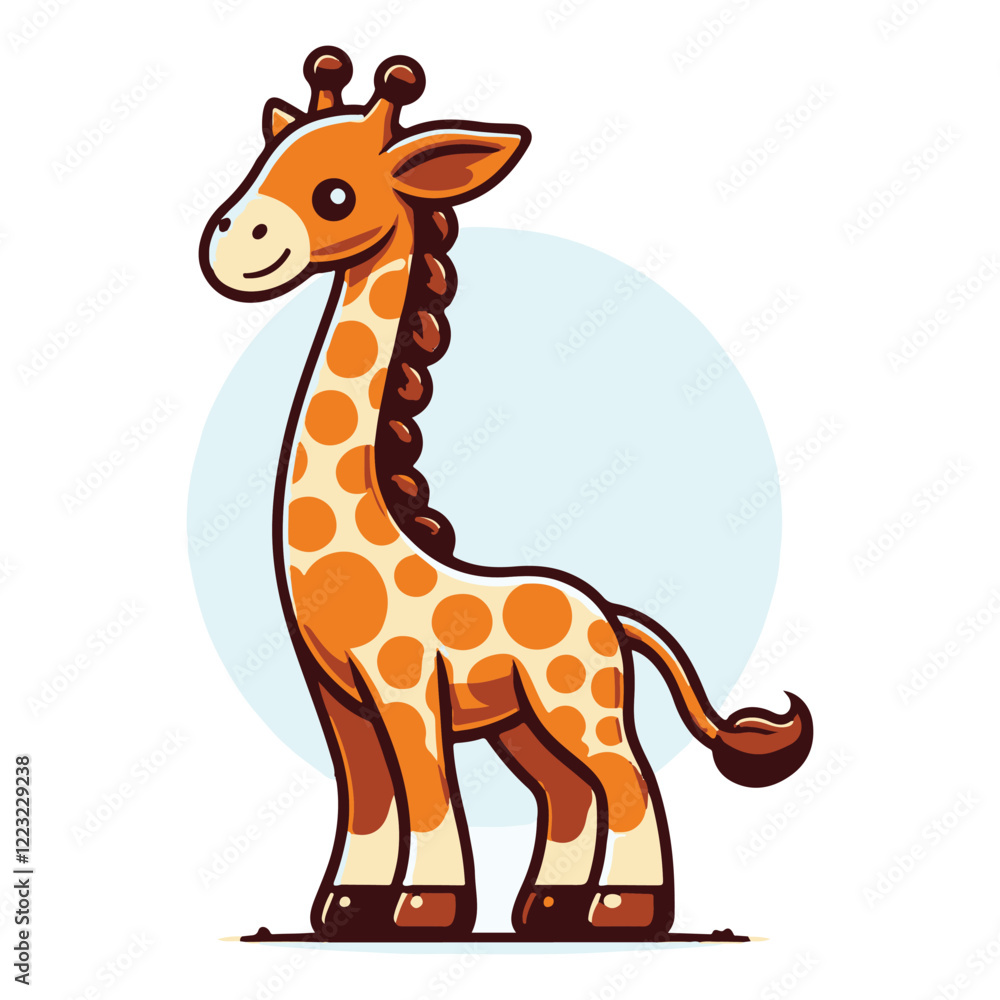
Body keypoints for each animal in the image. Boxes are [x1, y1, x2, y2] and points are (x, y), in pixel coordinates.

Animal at [199, 48, 814, 941]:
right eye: (263, 162)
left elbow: (425, 792)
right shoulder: (337, 698)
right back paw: (549, 909)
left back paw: (624, 907)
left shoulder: (404, 684)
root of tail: (610, 615)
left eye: (335, 194)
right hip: (522, 726)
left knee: (625, 777)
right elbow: (369, 799)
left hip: (577, 705)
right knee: (566, 793)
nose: (230, 243)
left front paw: (427, 907)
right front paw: (348, 906)